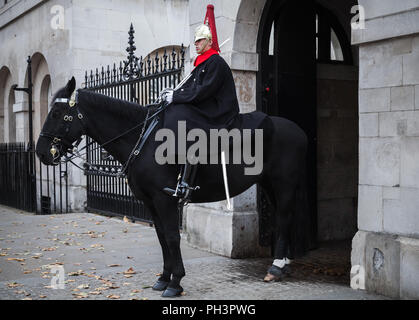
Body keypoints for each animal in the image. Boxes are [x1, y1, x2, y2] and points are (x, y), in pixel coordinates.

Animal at [36, 77, 312, 298]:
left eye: (58, 113)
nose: (41, 153)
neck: (143, 139)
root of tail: (298, 130)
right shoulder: (150, 202)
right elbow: (161, 238)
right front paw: (163, 278)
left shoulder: (164, 199)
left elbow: (171, 236)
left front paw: (176, 282)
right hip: (270, 185)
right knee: (283, 218)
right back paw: (283, 263)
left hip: (284, 184)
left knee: (284, 218)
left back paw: (276, 267)